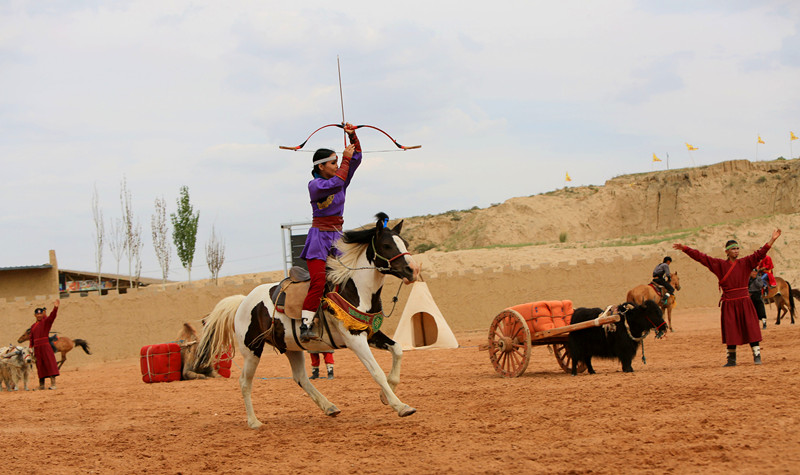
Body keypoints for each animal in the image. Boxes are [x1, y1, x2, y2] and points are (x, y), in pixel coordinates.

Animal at [194, 214, 418, 430]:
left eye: (405, 243)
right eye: (386, 245)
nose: (412, 270)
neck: (355, 290)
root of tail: (242, 302)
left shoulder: (370, 333)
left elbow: (397, 350)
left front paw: (385, 395)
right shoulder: (355, 339)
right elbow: (376, 371)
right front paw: (400, 406)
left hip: (291, 347)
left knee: (301, 378)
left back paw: (329, 407)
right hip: (252, 350)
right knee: (245, 382)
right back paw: (254, 422)